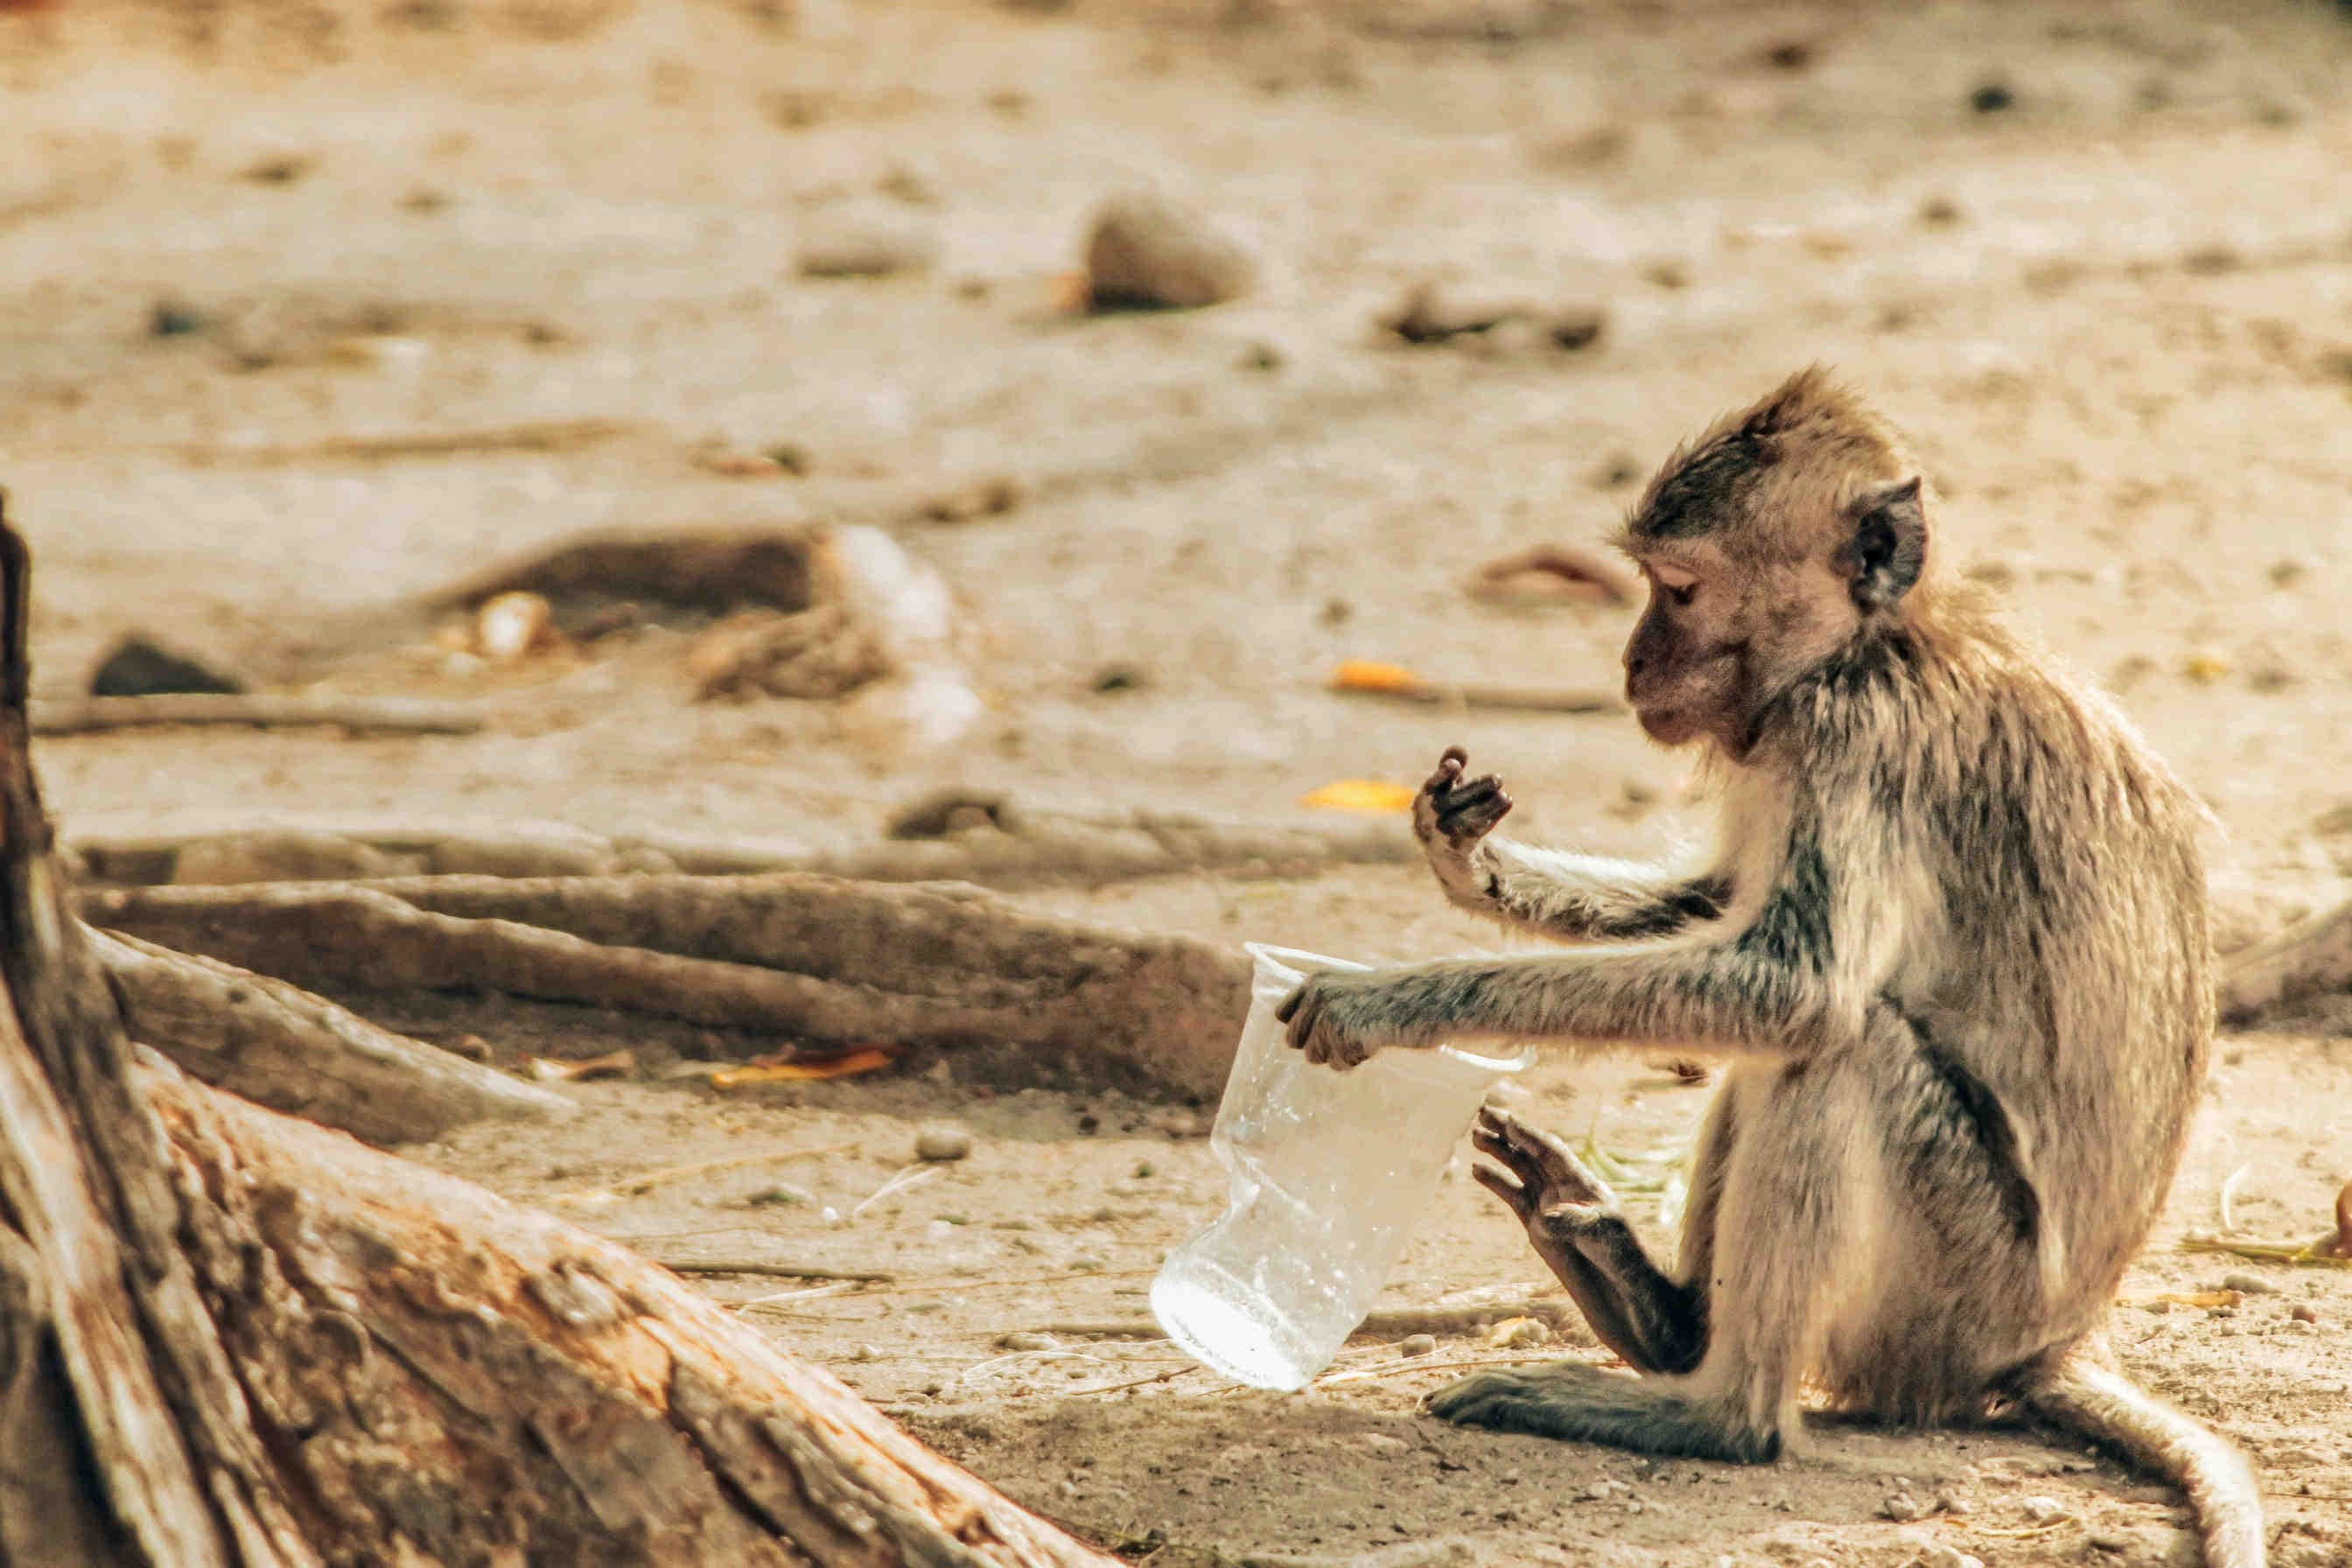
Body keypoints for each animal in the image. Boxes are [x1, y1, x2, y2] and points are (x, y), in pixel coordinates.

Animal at [1276, 368, 2263, 1567]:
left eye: (1681, 591)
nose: (1632, 663)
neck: (1876, 640)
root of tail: (2054, 1342)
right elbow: (1721, 911)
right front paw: (1477, 866)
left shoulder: (1854, 736)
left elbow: (1796, 991)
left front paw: (1396, 998)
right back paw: (1656, 1313)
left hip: (1953, 1299)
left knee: (1840, 1051)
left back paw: (1719, 1414)